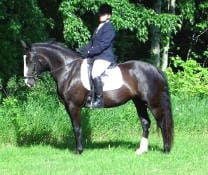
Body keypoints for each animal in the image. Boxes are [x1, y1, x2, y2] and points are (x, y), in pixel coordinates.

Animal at [21, 41, 174, 156]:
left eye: (30, 60)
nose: (28, 83)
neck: (69, 71)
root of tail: (155, 69)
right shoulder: (68, 107)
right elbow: (74, 127)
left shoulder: (74, 106)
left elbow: (77, 127)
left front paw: (79, 151)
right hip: (139, 102)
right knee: (145, 123)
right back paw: (141, 150)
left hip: (152, 103)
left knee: (162, 122)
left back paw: (166, 149)